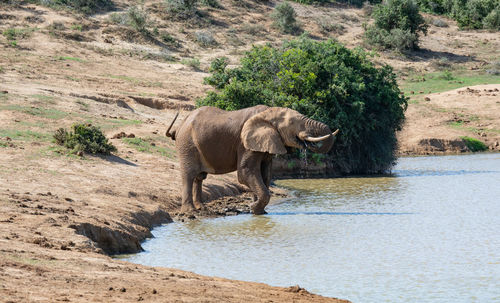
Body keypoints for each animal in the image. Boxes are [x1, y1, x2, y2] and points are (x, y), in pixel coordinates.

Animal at [166, 105, 338, 215]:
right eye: (291, 123)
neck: (268, 113)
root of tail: (180, 125)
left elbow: (265, 174)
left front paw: (260, 211)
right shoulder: (245, 143)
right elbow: (246, 172)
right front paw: (254, 208)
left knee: (199, 177)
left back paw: (202, 209)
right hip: (187, 144)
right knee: (189, 175)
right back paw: (190, 213)